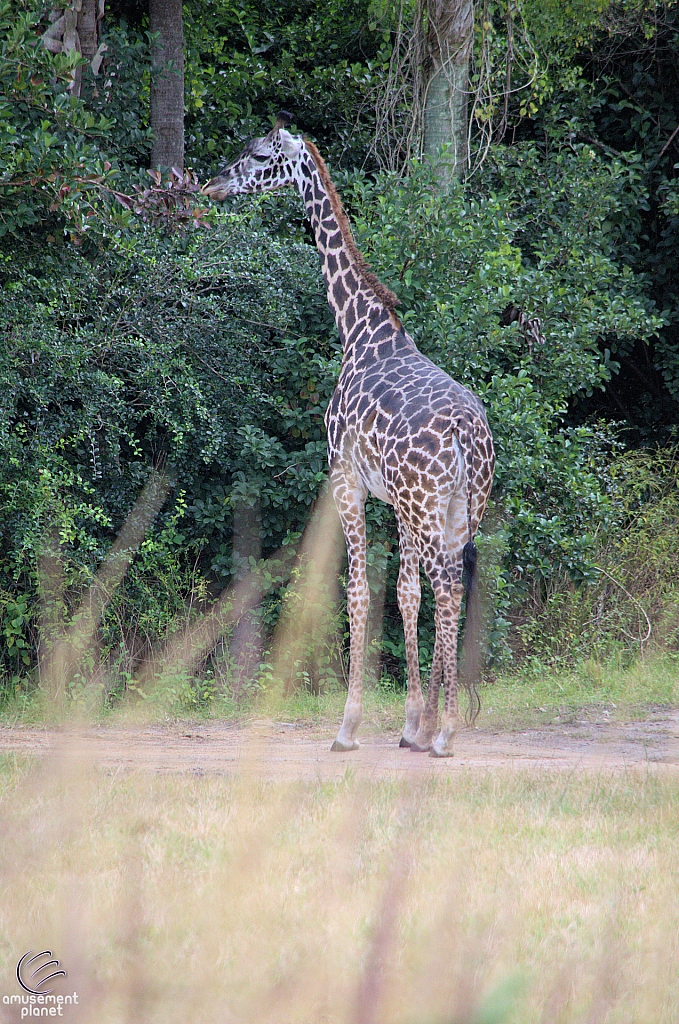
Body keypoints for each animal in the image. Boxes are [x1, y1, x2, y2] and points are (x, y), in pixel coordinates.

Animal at [201, 114, 493, 761]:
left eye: (257, 155)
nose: (212, 185)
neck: (359, 330)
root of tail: (469, 434)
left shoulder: (346, 479)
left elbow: (357, 594)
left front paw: (349, 726)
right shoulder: (397, 504)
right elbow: (404, 596)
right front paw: (409, 723)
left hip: (429, 505)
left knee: (447, 589)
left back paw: (447, 735)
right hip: (460, 507)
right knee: (450, 588)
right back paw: (439, 728)